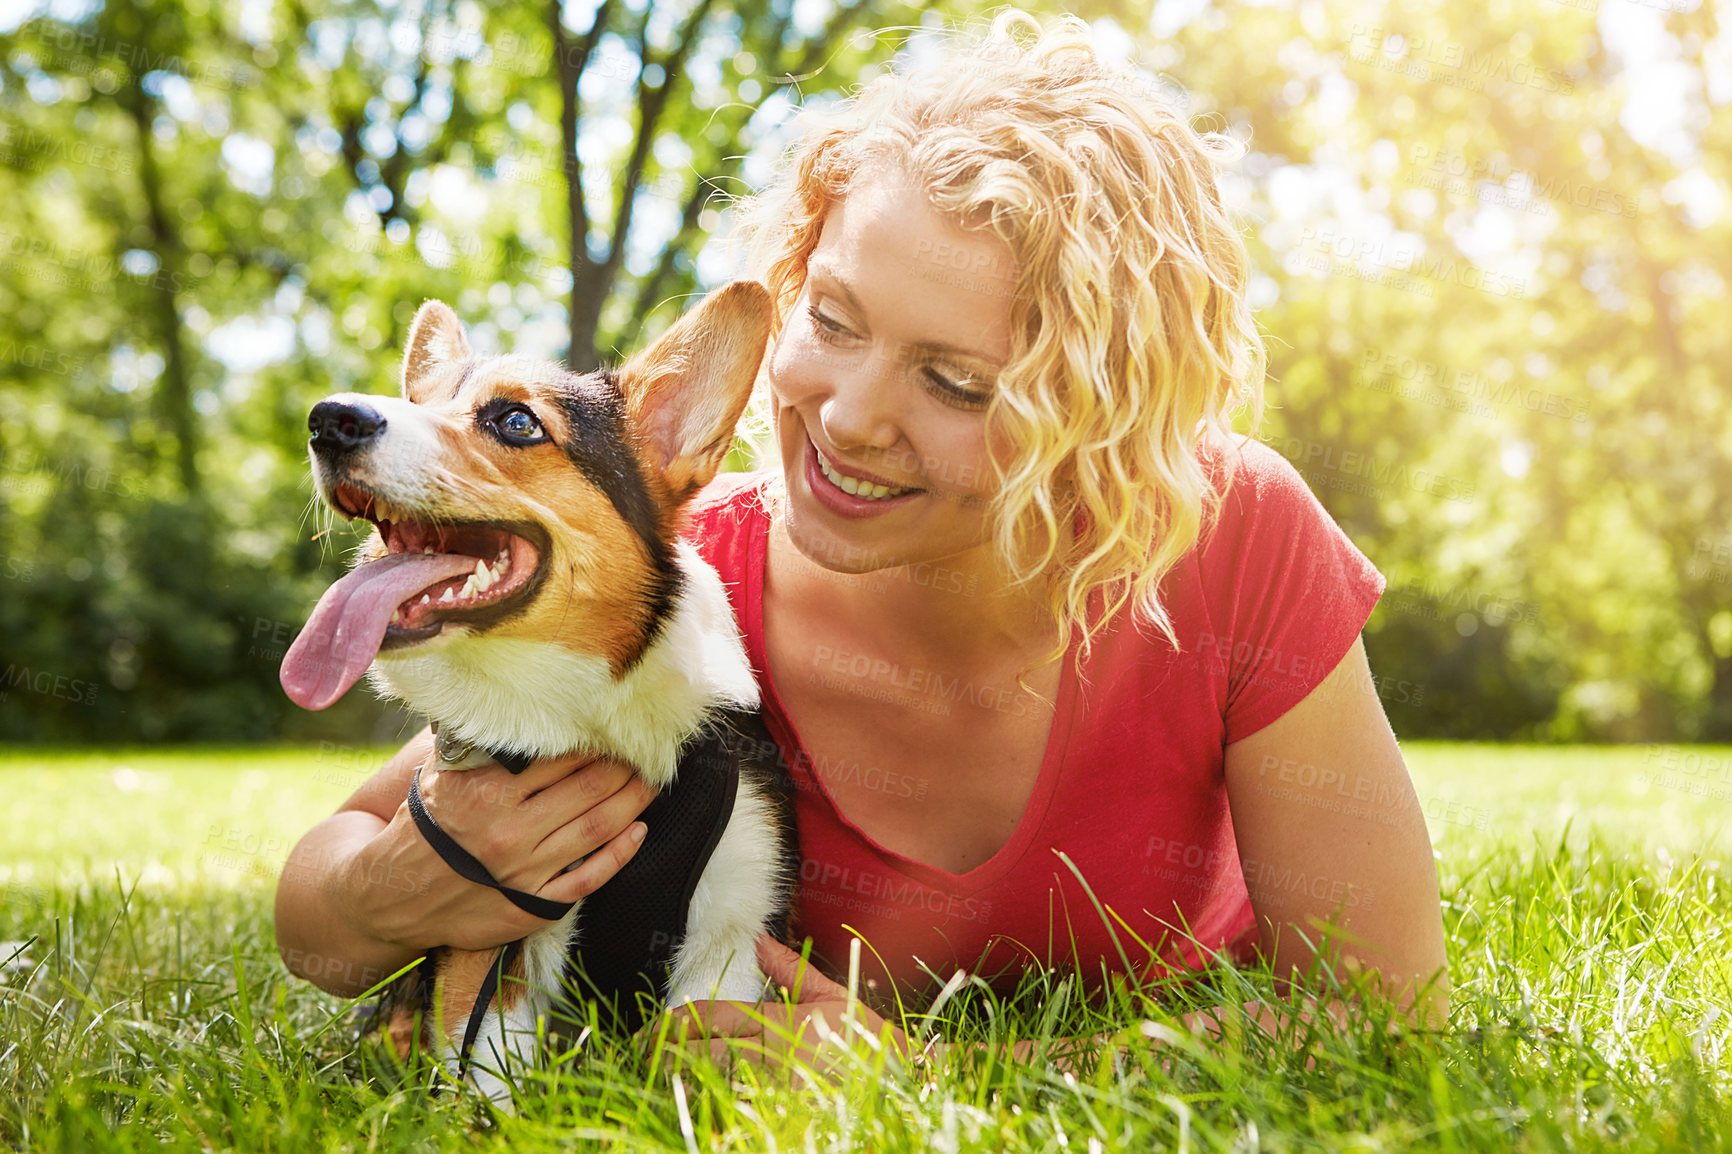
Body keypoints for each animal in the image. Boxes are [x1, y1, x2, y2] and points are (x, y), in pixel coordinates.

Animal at [280, 278, 793, 1095]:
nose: (329, 418)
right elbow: (493, 1068)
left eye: (515, 422)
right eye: (418, 400)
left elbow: (695, 1050)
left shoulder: (731, 935)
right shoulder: (488, 932)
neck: (581, 717)